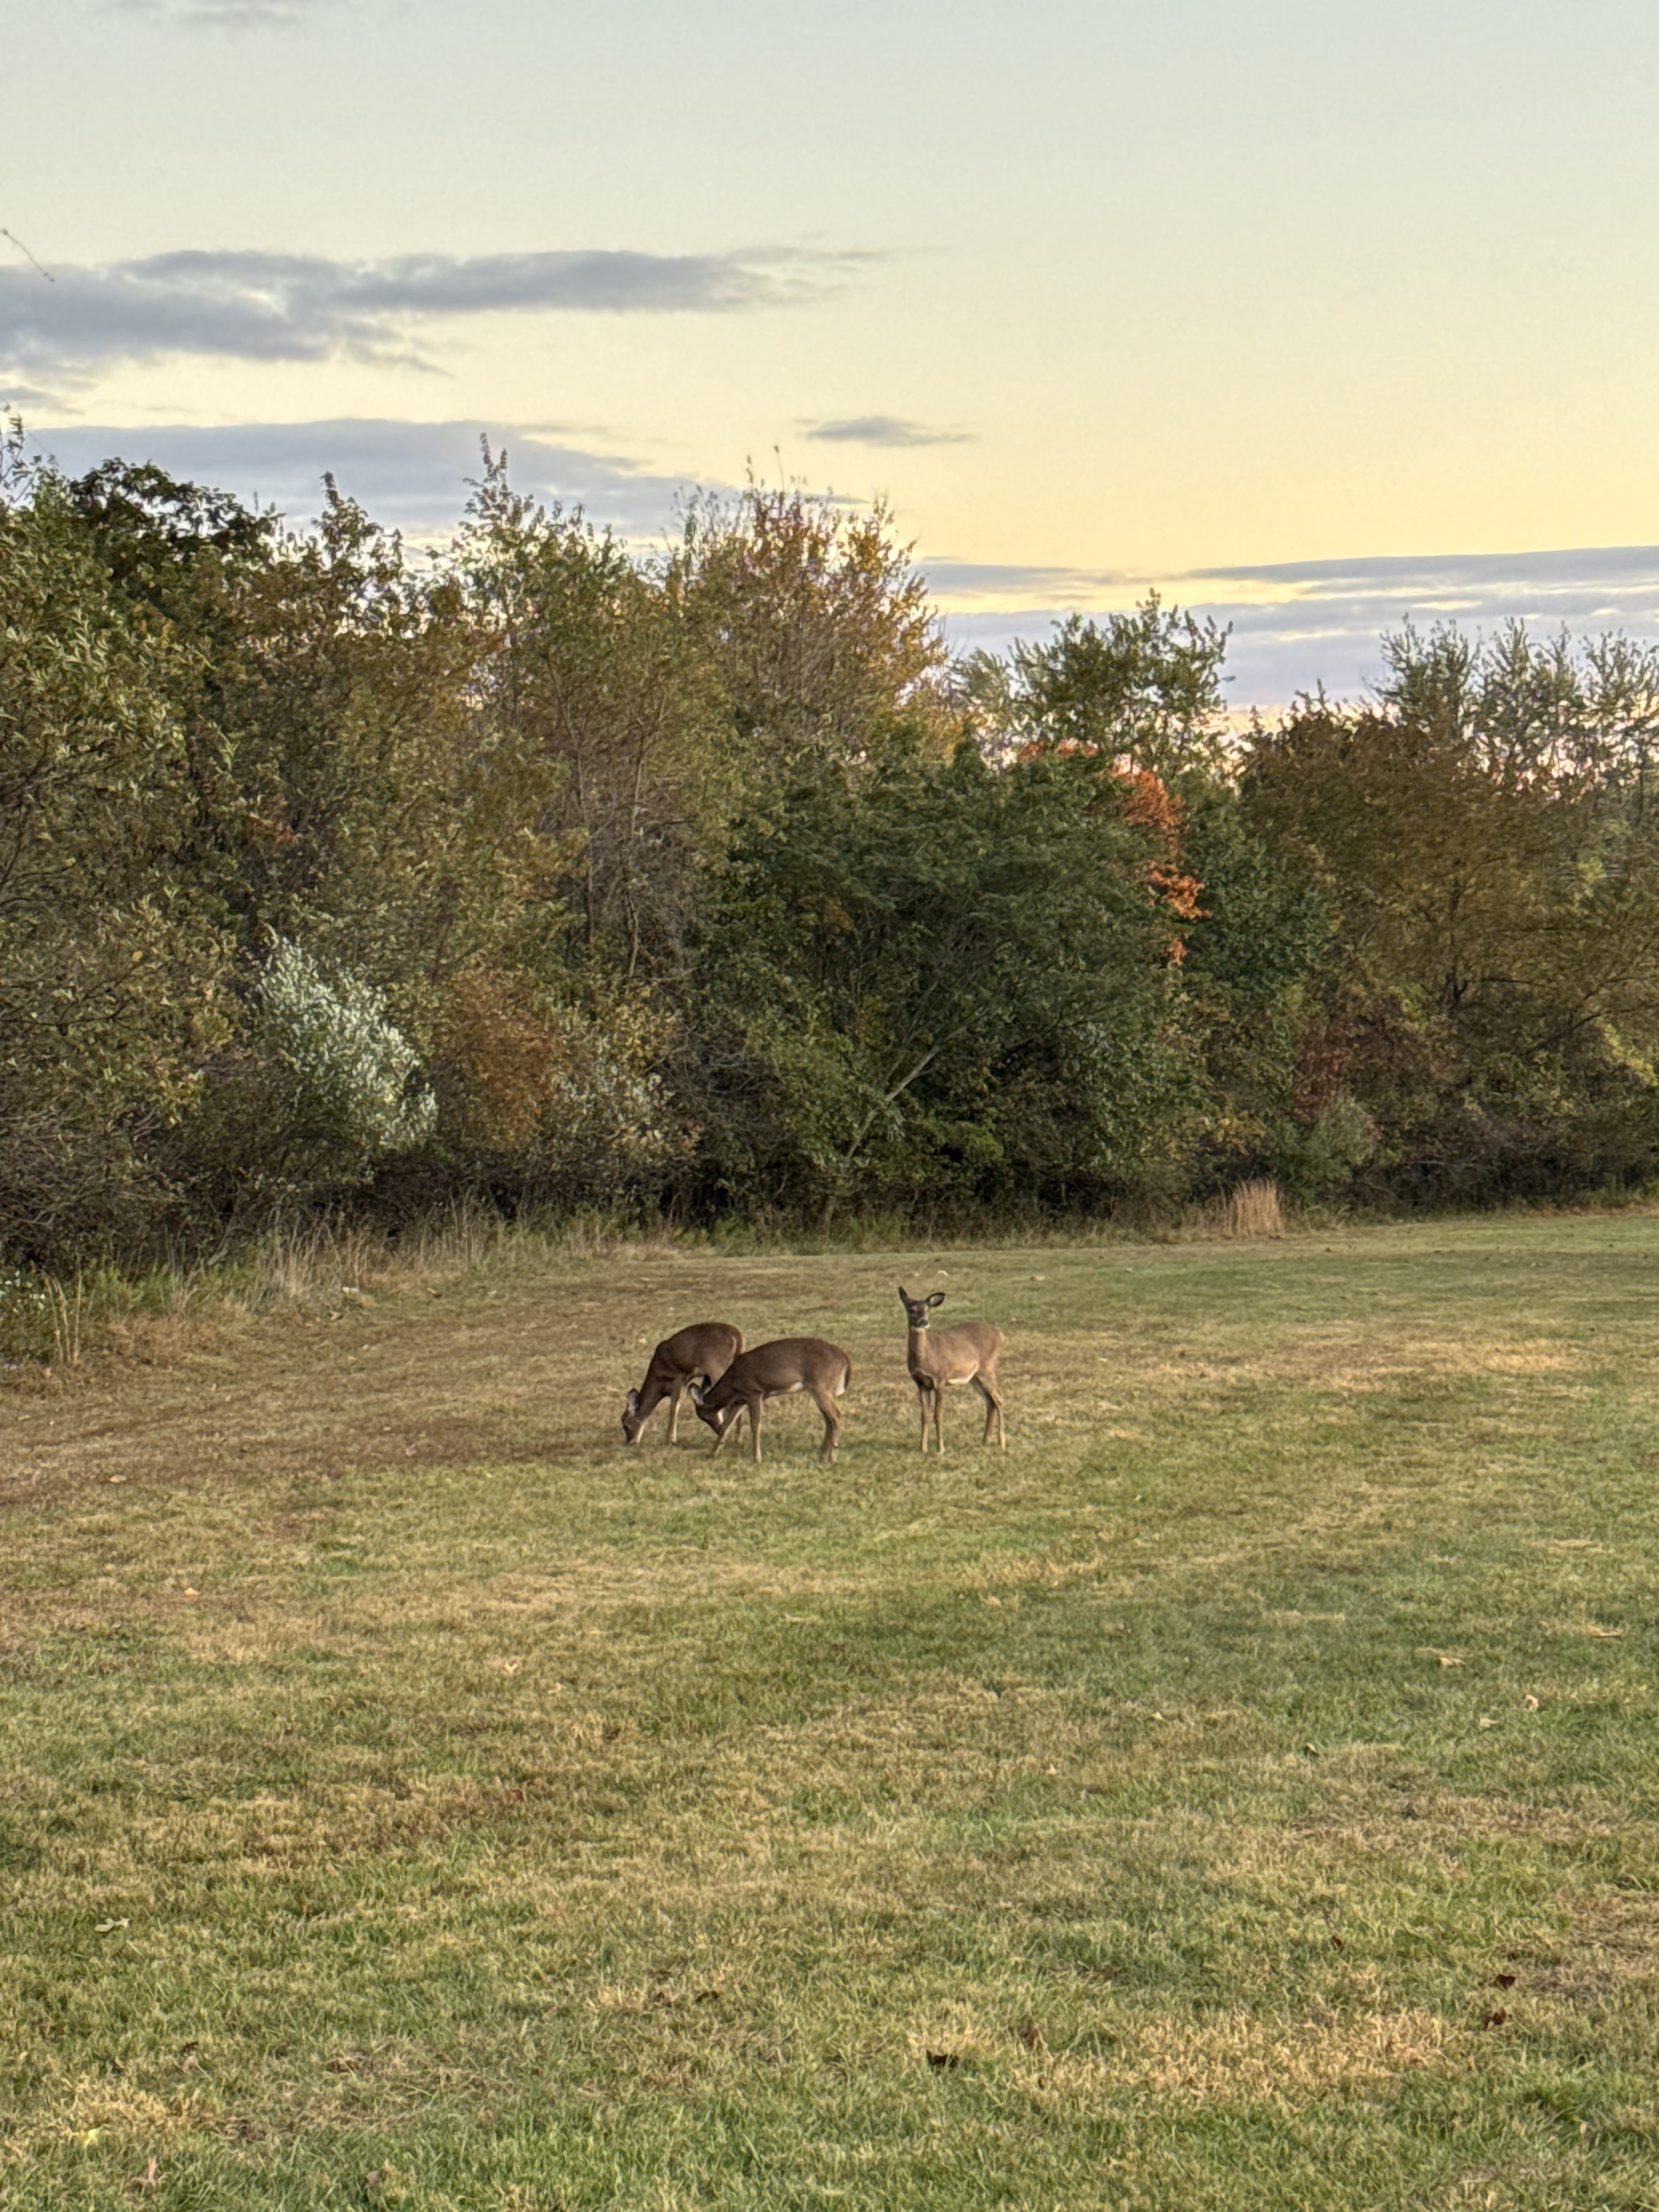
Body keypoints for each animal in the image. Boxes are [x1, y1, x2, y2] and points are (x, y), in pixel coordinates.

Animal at [621, 1321, 745, 1446]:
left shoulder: (679, 1378)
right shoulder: (686, 1381)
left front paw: (670, 1439)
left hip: (716, 1367)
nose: (630, 1442)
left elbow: (674, 1406)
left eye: (625, 1425)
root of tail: (737, 1336)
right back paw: (738, 1439)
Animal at [690, 1337, 853, 1463]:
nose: (715, 1429)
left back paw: (832, 1457)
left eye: (703, 1416)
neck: (732, 1383)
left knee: (837, 1416)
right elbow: (728, 1425)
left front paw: (757, 1458)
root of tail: (845, 1359)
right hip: (823, 1390)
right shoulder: (739, 1401)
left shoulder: (755, 1393)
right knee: (829, 1419)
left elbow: (755, 1425)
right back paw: (823, 1456)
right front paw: (713, 1453)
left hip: (821, 1386)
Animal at [898, 1286, 1005, 1453]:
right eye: (912, 1310)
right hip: (974, 1377)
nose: (924, 1322)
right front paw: (923, 1448)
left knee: (999, 1398)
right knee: (990, 1401)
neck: (926, 1355)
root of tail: (1000, 1335)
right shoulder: (920, 1383)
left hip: (988, 1368)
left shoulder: (940, 1378)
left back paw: (1002, 1442)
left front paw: (940, 1449)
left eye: (928, 1309)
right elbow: (924, 1415)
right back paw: (985, 1440)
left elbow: (938, 1414)